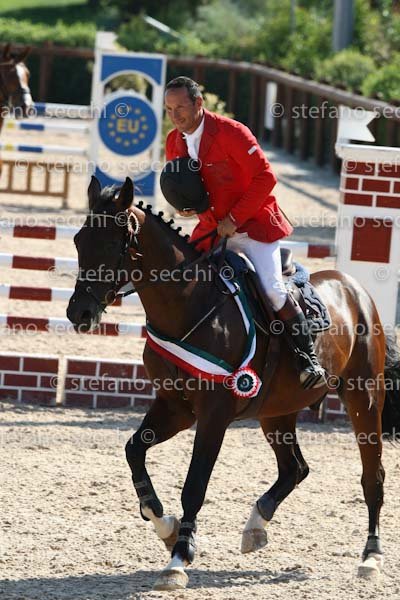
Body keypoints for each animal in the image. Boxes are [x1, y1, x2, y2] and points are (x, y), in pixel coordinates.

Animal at [67, 176, 400, 591]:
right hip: (277, 412)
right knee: (294, 468)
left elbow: (195, 484)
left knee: (373, 477)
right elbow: (134, 452)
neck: (189, 307)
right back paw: (256, 527)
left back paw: (371, 557)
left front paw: (179, 558)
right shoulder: (175, 406)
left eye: (112, 245)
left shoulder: (214, 415)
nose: (78, 313)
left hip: (363, 399)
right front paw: (164, 525)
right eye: (79, 240)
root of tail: (355, 288)